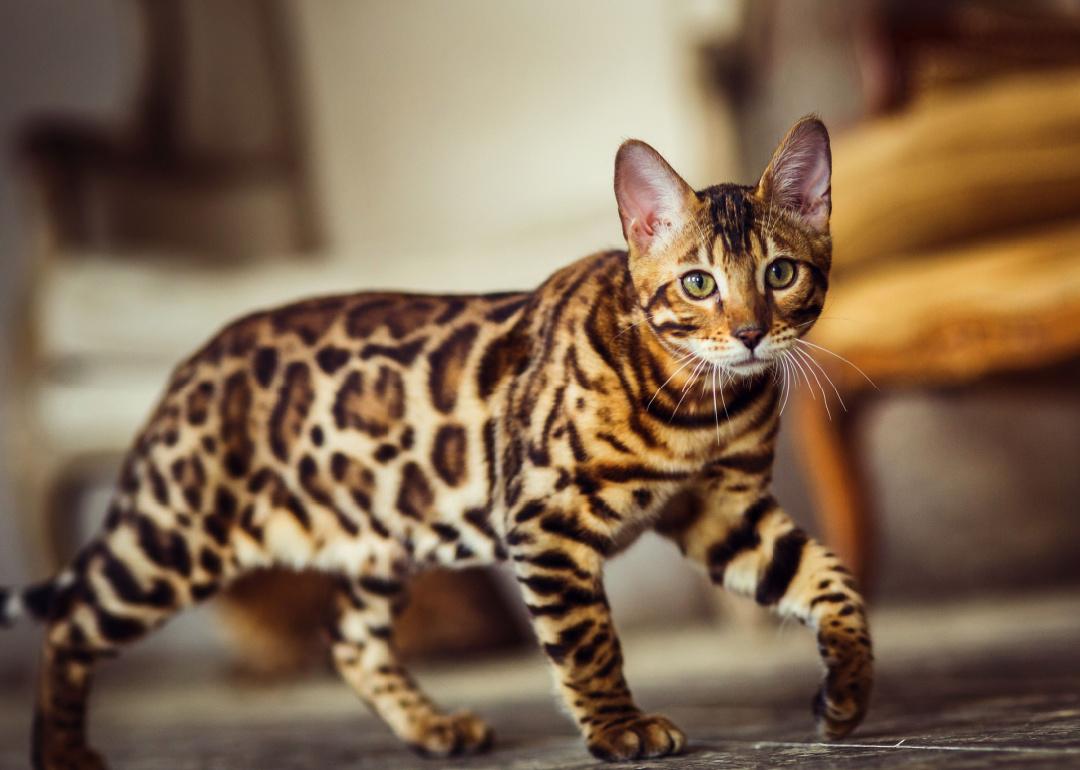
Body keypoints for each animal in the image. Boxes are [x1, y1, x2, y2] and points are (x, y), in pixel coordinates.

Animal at [0, 117, 872, 764]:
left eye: (782, 273)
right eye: (698, 284)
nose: (752, 334)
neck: (702, 403)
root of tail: (186, 368)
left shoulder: (724, 508)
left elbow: (832, 582)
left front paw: (848, 688)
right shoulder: (544, 517)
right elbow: (587, 637)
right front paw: (619, 727)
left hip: (375, 538)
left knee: (347, 641)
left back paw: (431, 727)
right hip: (172, 539)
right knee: (71, 617)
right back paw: (60, 751)